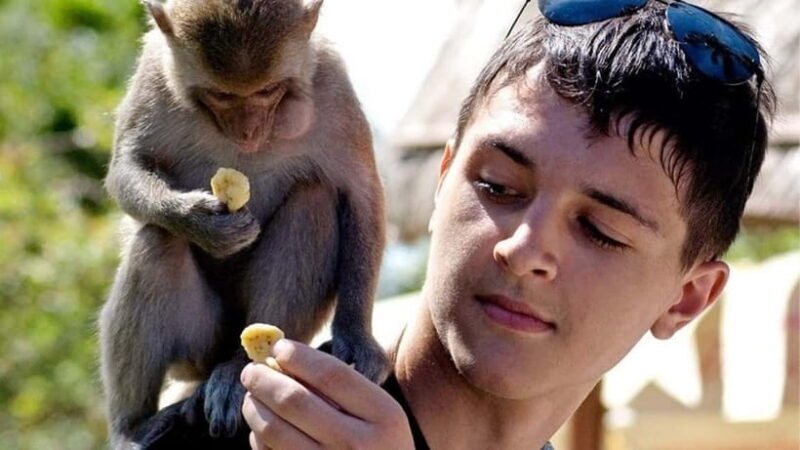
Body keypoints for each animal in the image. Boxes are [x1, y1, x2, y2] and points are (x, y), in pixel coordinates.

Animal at [98, 0, 389, 447]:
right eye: (222, 95)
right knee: (159, 240)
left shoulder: (331, 87)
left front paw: (356, 337)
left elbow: (361, 198)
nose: (249, 132)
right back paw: (131, 426)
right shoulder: (153, 74)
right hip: (198, 346)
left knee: (314, 200)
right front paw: (199, 222)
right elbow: (127, 169)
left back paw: (236, 369)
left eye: (267, 91)